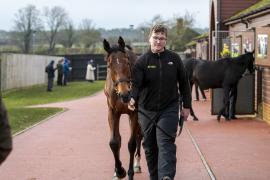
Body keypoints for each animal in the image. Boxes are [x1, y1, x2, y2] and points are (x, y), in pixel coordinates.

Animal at [103, 37, 141, 180]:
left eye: (126, 62)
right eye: (109, 65)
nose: (124, 94)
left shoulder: (135, 112)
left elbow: (132, 143)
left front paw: (129, 173)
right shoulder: (113, 112)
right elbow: (114, 142)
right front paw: (119, 171)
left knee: (139, 136)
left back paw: (137, 165)